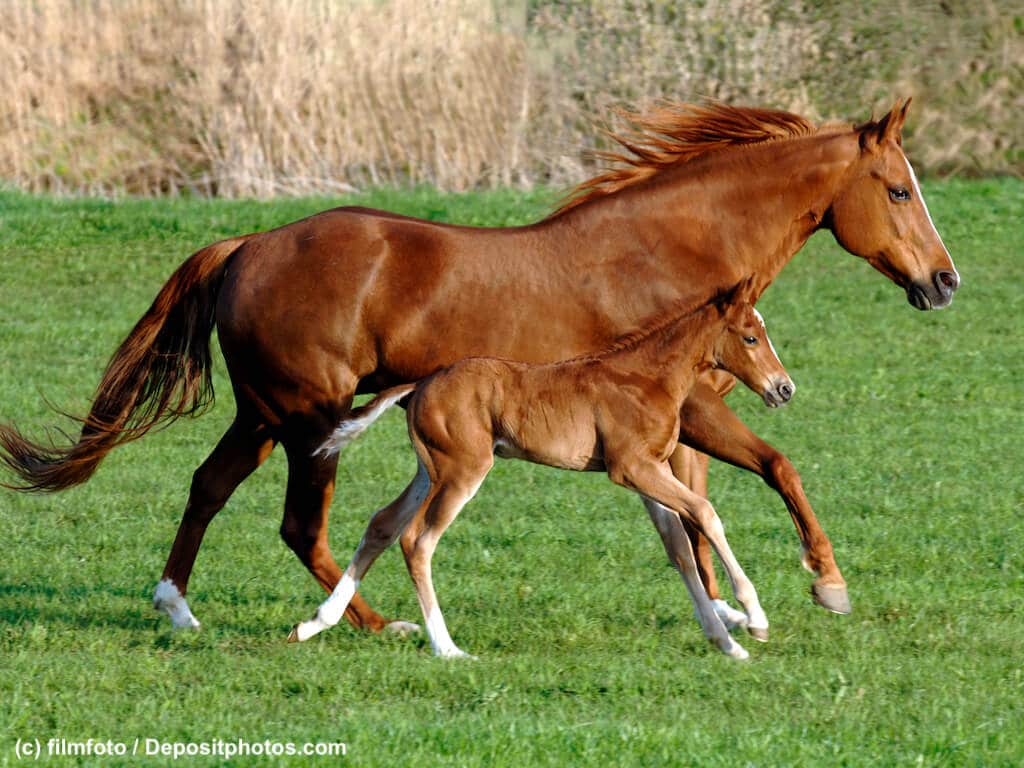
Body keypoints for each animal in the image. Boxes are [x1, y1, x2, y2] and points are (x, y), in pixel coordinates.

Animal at [291, 280, 791, 660]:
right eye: (750, 337)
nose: (784, 389)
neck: (648, 378)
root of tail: (422, 383)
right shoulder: (631, 468)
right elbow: (705, 513)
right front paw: (755, 618)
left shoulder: (650, 474)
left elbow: (679, 549)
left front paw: (726, 642)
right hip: (463, 470)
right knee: (417, 540)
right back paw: (447, 649)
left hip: (429, 470)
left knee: (383, 524)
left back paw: (315, 623)